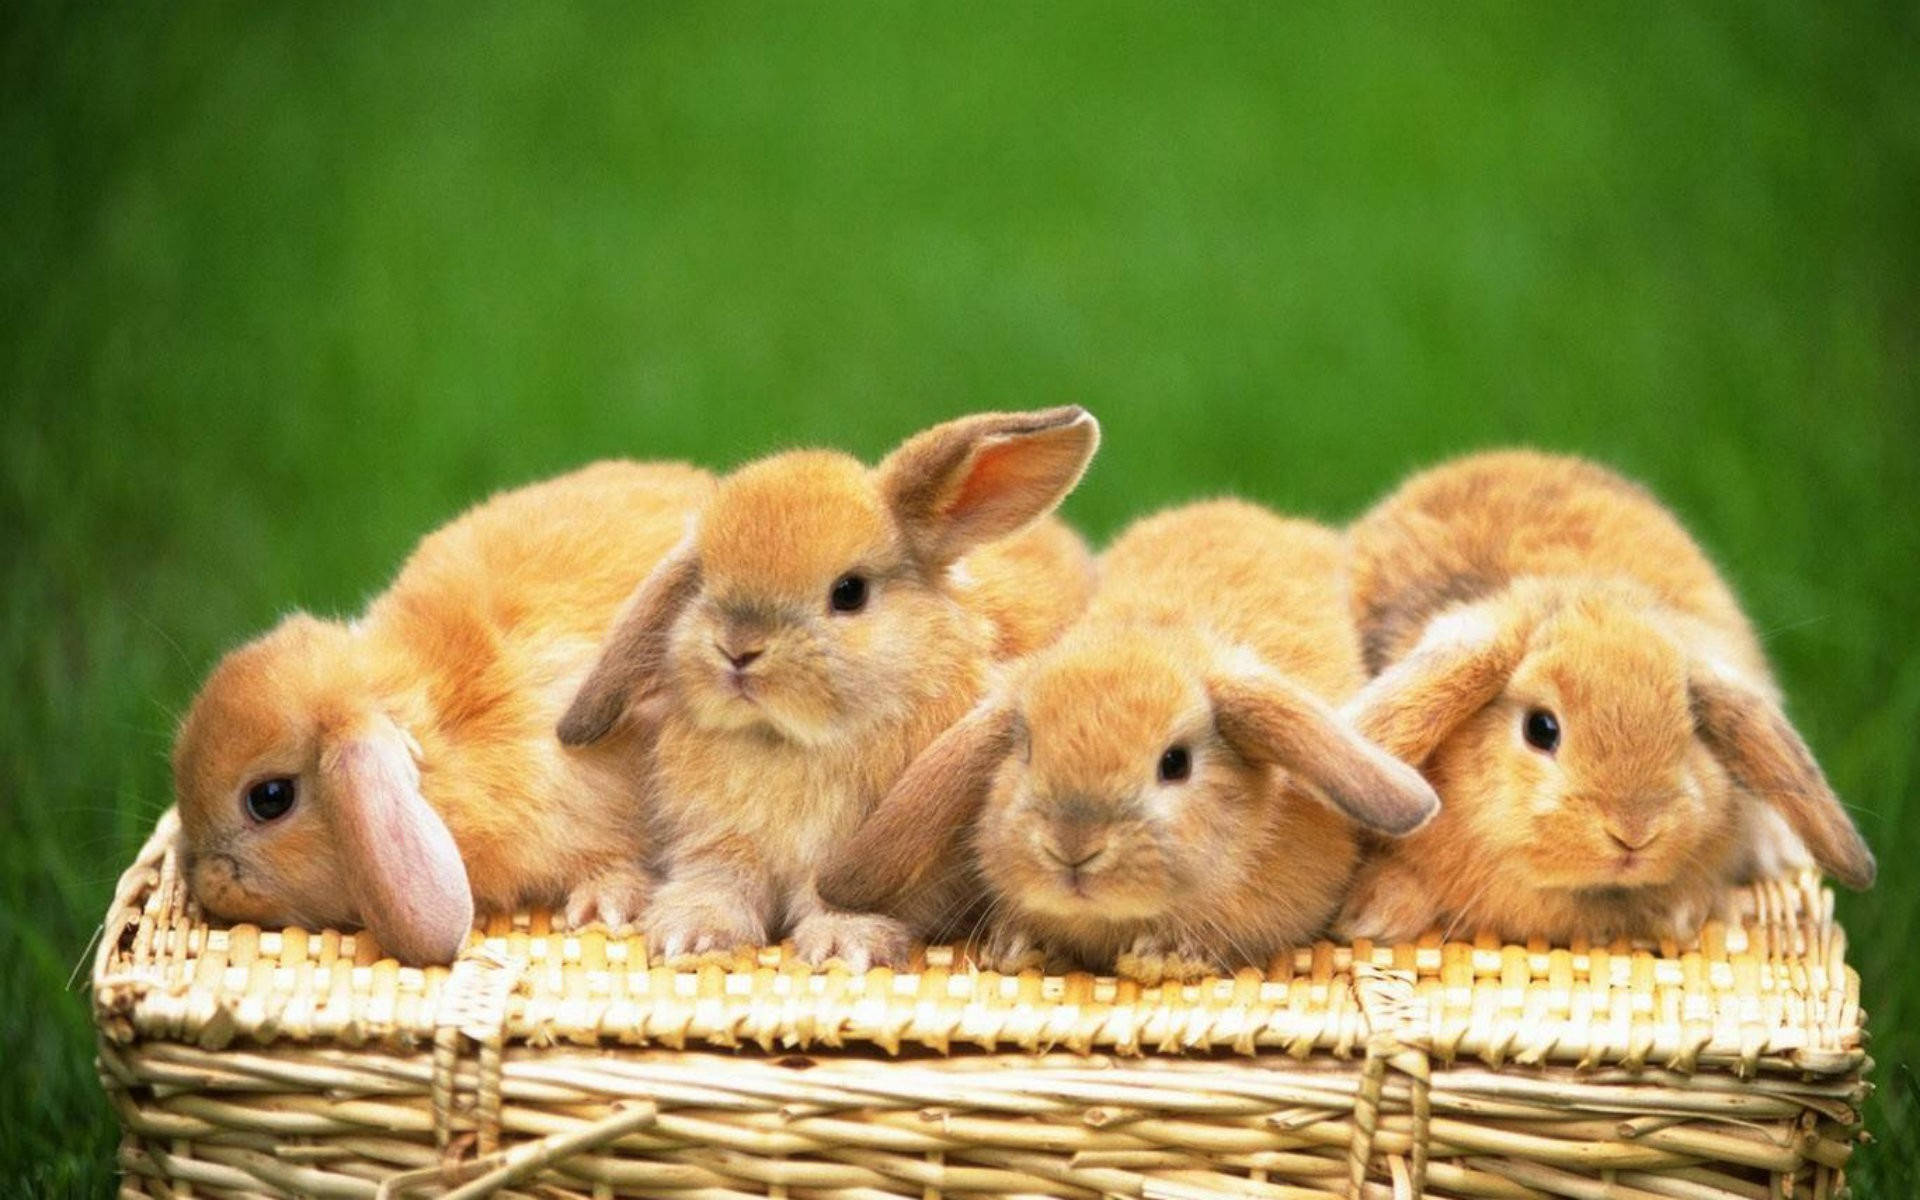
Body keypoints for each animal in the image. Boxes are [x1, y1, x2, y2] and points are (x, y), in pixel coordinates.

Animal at [556, 407, 1098, 967]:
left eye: (849, 592)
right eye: (703, 579)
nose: (737, 648)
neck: (788, 741)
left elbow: (834, 900)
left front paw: (844, 946)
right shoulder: (720, 842)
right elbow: (718, 882)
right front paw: (692, 934)